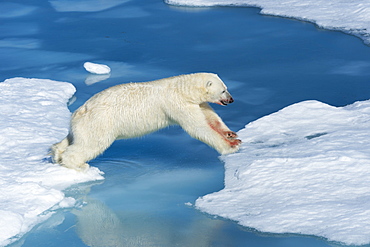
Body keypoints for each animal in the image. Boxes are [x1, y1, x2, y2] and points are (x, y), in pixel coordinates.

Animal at [50, 72, 241, 171]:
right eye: (223, 90)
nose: (231, 99)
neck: (183, 89)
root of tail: (81, 110)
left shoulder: (196, 103)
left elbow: (210, 117)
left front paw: (231, 134)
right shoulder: (177, 104)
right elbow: (198, 127)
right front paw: (231, 146)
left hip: (81, 125)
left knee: (71, 139)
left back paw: (57, 153)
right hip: (99, 122)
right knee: (91, 143)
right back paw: (79, 165)